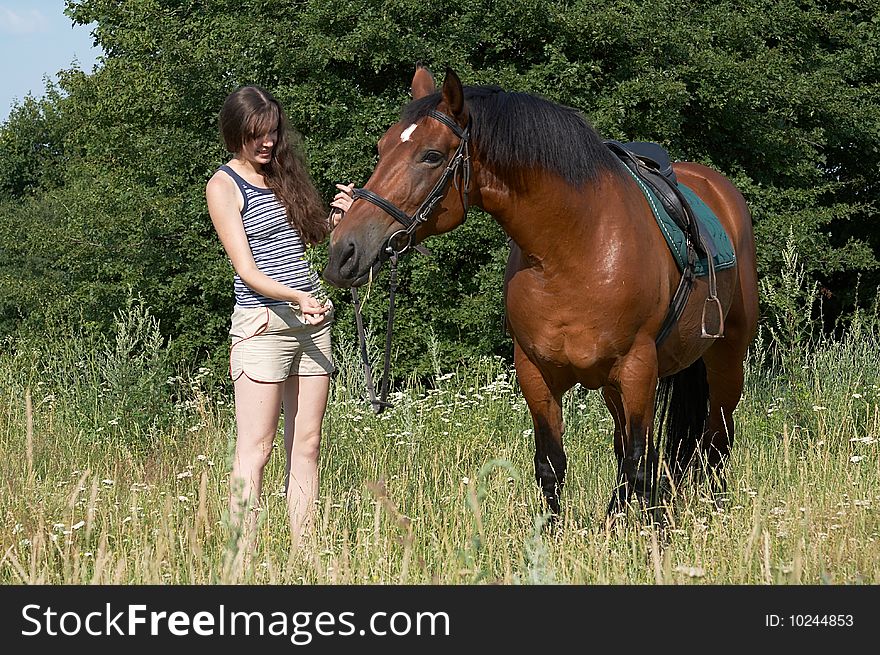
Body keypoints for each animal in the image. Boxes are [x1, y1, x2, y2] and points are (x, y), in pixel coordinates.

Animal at [324, 66, 756, 516]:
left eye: (432, 156)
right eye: (382, 147)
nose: (343, 250)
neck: (574, 248)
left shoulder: (638, 368)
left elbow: (639, 463)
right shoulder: (536, 374)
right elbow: (553, 464)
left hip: (725, 361)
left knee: (716, 440)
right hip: (613, 387)